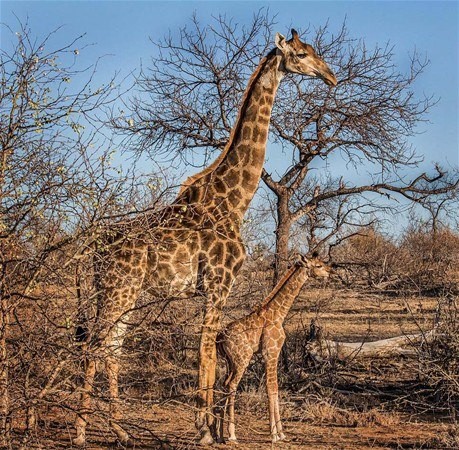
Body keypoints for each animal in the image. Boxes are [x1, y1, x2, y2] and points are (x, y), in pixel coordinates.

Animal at [217, 253, 332, 442]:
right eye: (319, 265)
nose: (330, 271)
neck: (279, 314)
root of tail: (219, 337)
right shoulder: (270, 352)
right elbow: (271, 388)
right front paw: (274, 434)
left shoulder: (273, 354)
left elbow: (276, 388)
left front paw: (282, 432)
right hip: (242, 358)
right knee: (232, 385)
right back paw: (232, 434)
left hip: (229, 361)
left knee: (224, 384)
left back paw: (219, 432)